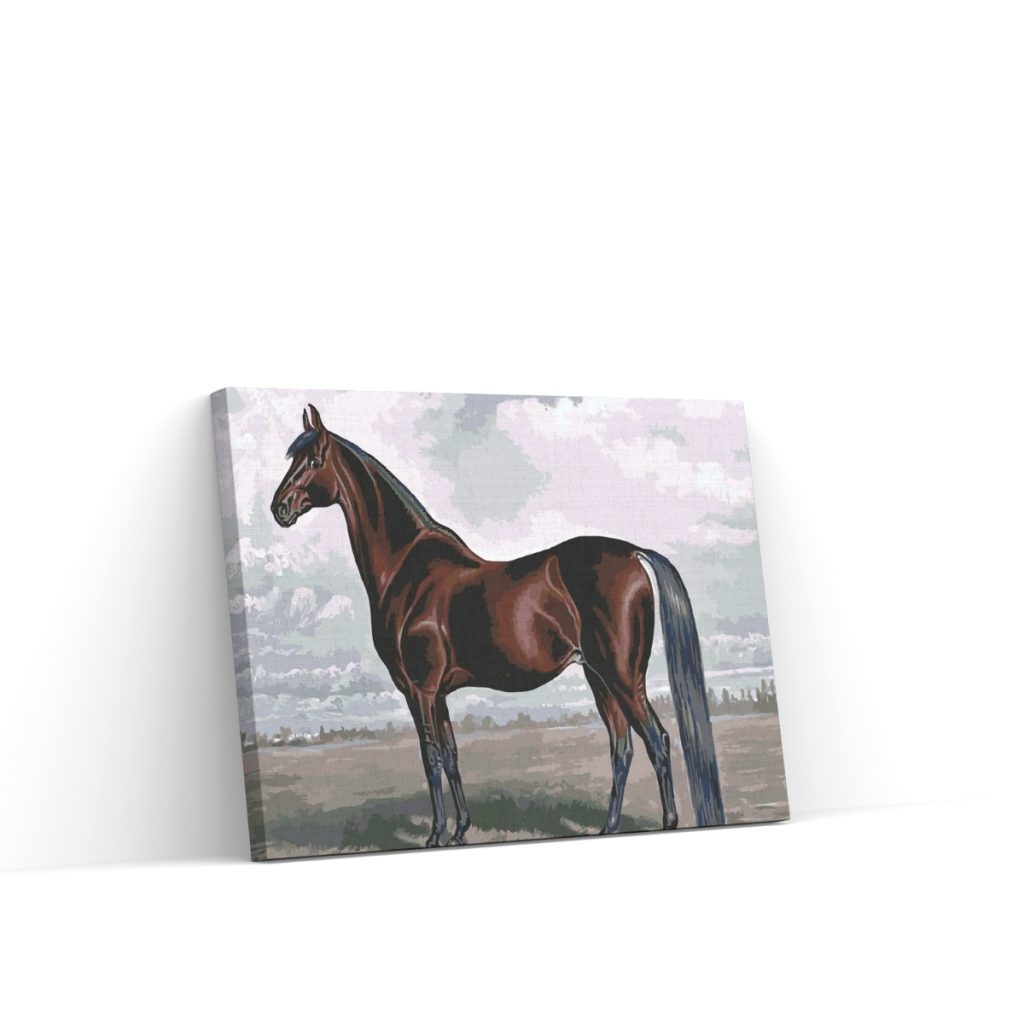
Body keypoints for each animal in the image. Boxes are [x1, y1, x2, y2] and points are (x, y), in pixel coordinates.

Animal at [272, 404, 725, 847]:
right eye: (293, 457)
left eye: (313, 460)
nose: (279, 508)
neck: (406, 568)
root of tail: (633, 553)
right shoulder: (439, 694)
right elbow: (451, 756)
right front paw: (460, 830)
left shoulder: (419, 690)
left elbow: (430, 757)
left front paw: (436, 834)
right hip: (600, 678)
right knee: (622, 747)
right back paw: (609, 827)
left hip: (623, 677)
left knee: (656, 742)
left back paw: (667, 822)